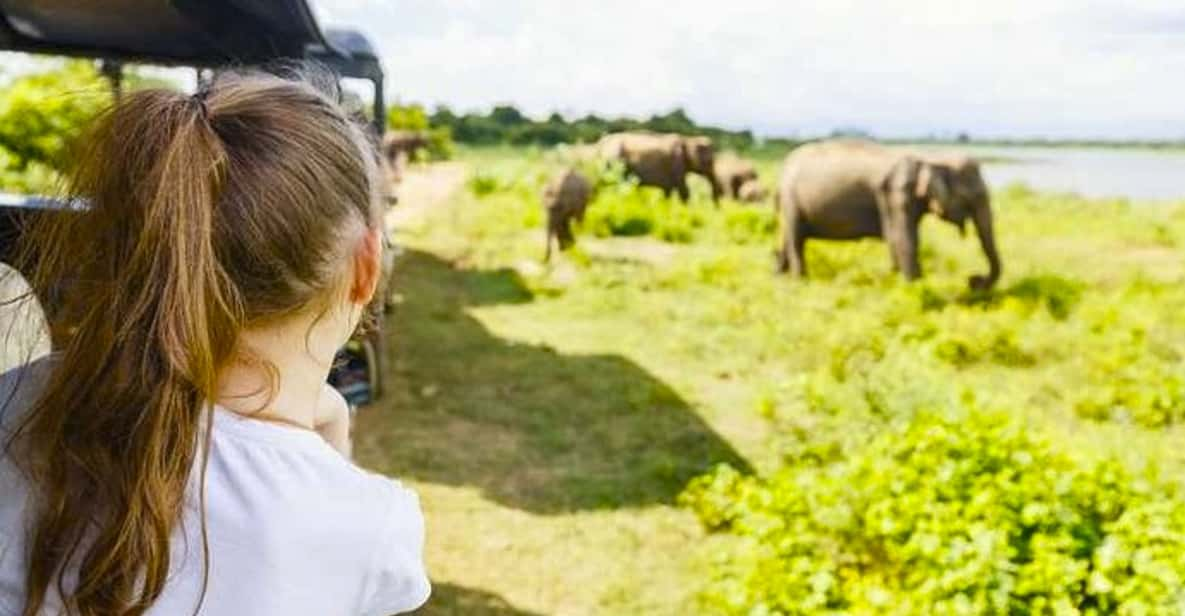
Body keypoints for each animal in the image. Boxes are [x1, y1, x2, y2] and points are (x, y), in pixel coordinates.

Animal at [777, 139, 1000, 289]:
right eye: (974, 197)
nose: (973, 280)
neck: (929, 156)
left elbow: (898, 240)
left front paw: (894, 281)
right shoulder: (895, 194)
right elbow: (903, 239)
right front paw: (916, 289)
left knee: (788, 238)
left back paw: (779, 275)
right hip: (791, 199)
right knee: (796, 239)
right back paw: (800, 281)